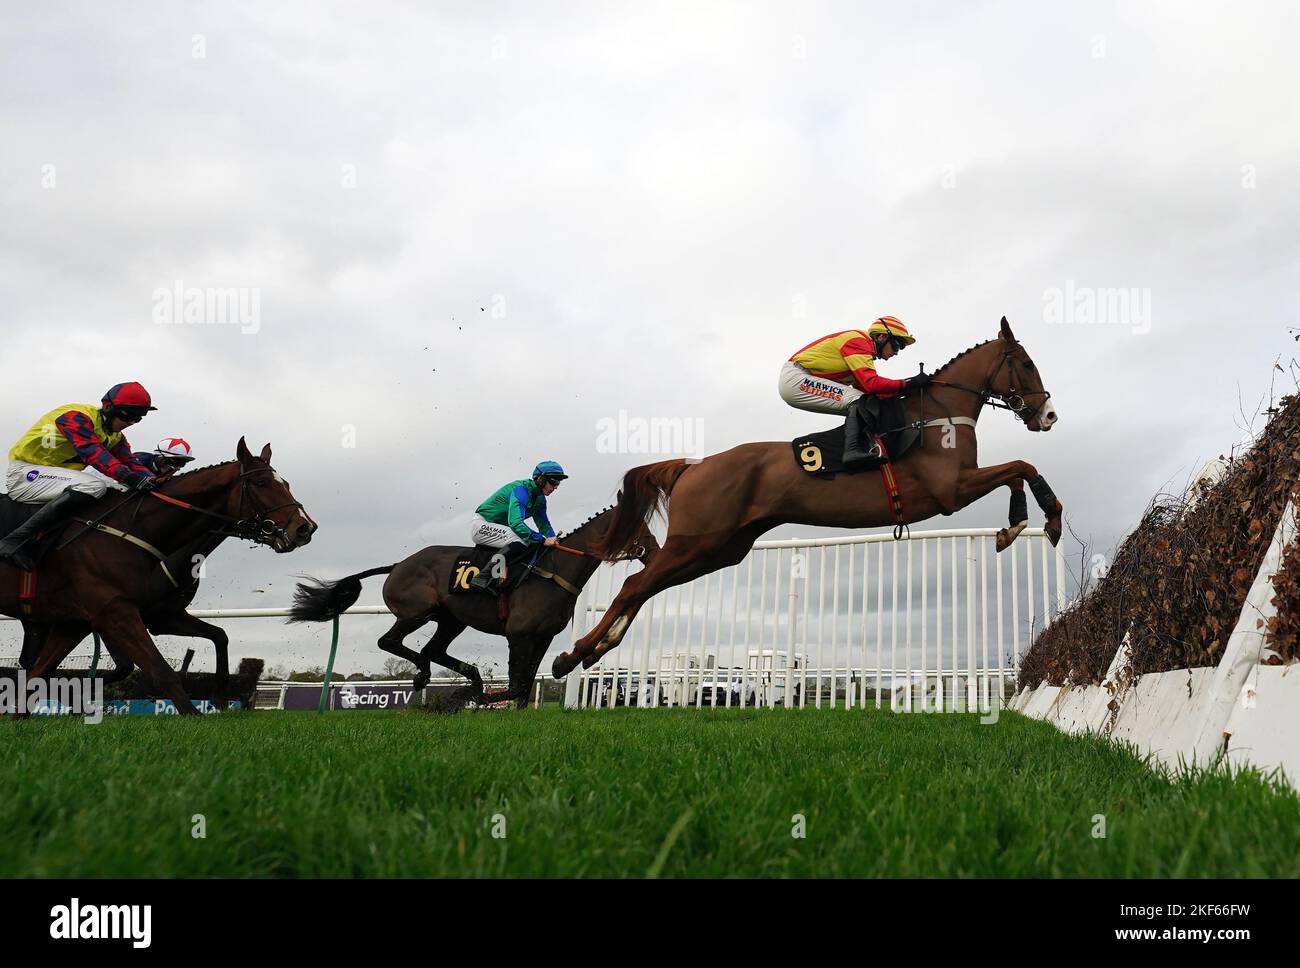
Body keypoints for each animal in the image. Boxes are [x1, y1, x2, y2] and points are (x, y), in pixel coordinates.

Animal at [4, 439, 317, 712]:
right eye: (261, 483)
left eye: (286, 484)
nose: (305, 527)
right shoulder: (120, 613)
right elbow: (143, 668)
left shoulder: (163, 615)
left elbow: (219, 635)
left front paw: (219, 696)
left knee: (30, 660)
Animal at [289, 509, 655, 706]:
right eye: (638, 526)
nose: (654, 551)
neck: (554, 570)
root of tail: (397, 565)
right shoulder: (519, 634)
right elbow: (518, 682)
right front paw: (472, 698)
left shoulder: (543, 637)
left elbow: (526, 683)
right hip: (416, 612)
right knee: (390, 642)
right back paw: (427, 676)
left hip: (451, 619)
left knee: (434, 649)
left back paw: (469, 679)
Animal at [553, 313, 1060, 675]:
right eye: (1027, 364)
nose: (1049, 415)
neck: (936, 415)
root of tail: (694, 466)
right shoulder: (950, 491)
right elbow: (1023, 466)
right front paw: (1048, 519)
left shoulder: (959, 486)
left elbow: (1018, 472)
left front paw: (1016, 524)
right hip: (695, 541)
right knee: (634, 586)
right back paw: (571, 655)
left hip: (720, 549)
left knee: (645, 586)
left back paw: (592, 652)